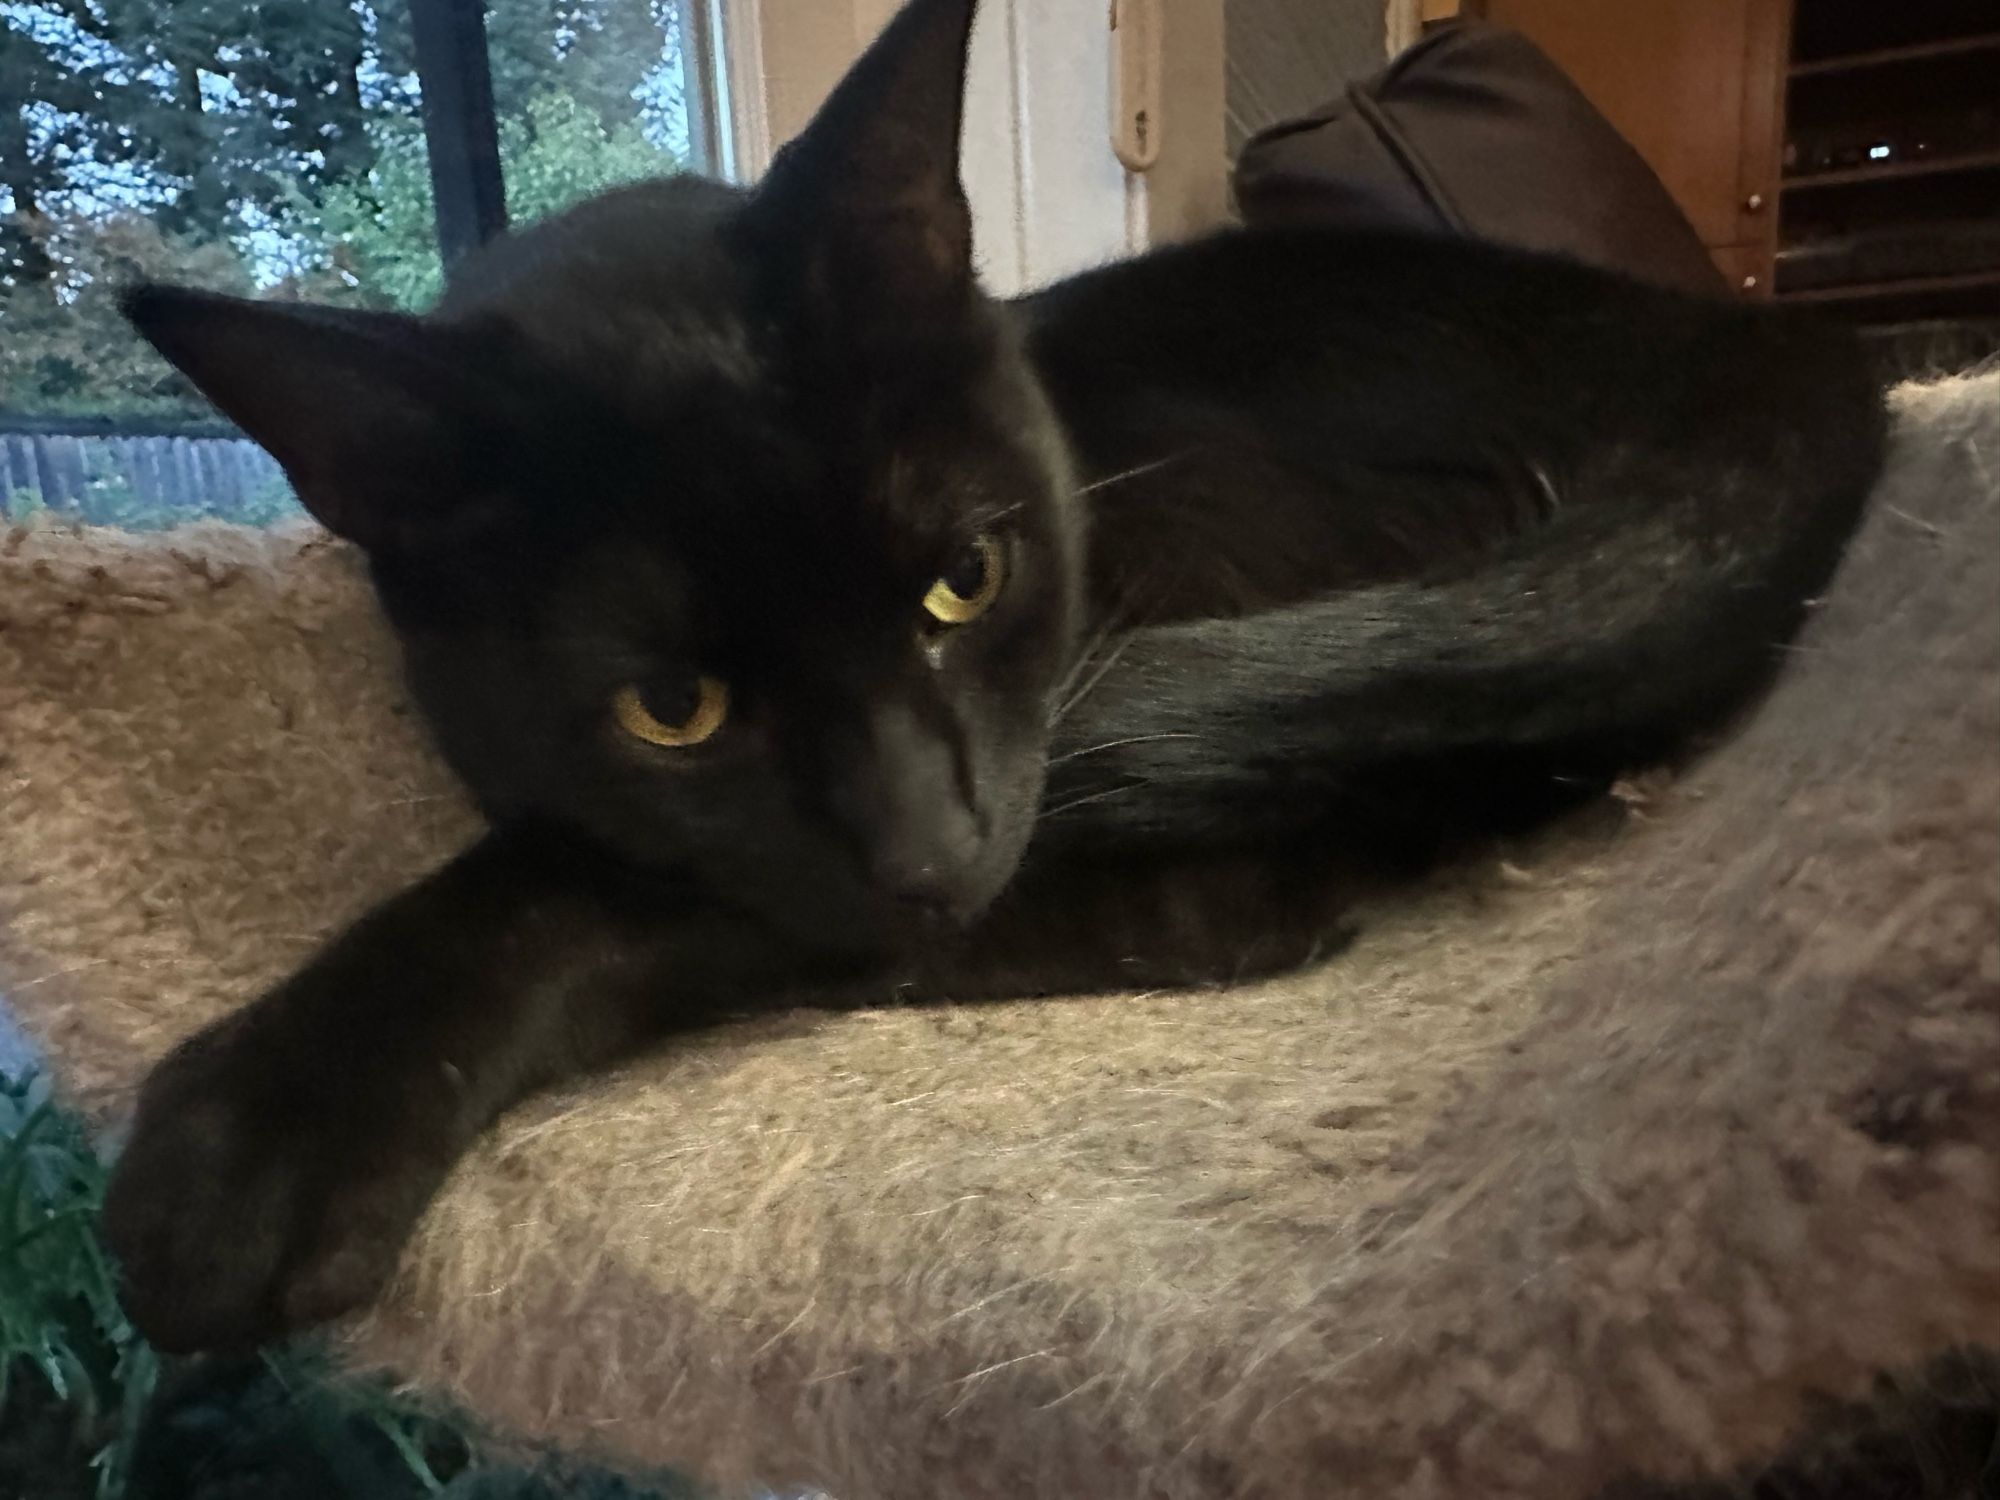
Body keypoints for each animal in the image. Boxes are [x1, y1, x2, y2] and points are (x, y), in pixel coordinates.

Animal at [105, 0, 1888, 1360]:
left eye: (965, 578)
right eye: (672, 711)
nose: (937, 853)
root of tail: (1745, 344)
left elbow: (585, 880)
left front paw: (253, 1133)